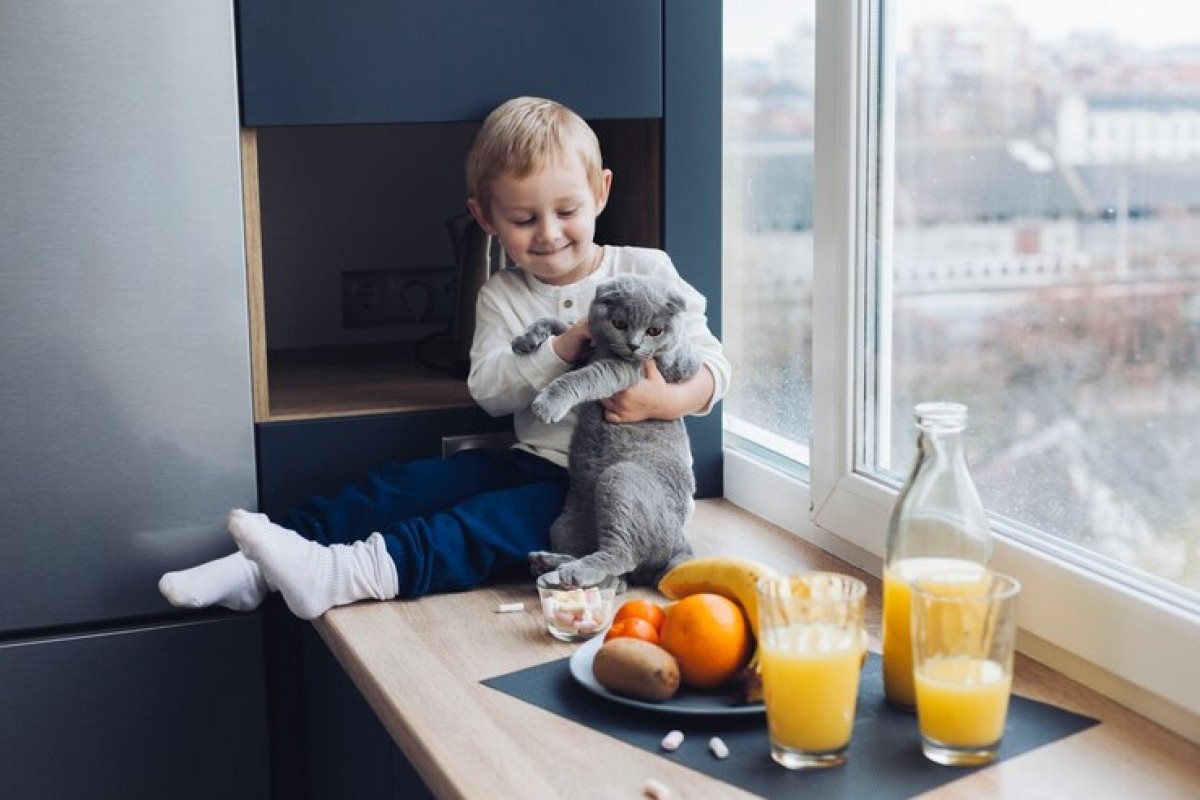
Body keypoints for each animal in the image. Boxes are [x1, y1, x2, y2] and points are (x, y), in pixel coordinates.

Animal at [508, 273, 700, 587]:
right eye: (620, 323)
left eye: (654, 330)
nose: (634, 346)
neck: (604, 348)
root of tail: (682, 547)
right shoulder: (583, 351)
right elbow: (559, 326)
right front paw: (525, 340)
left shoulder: (625, 370)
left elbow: (583, 377)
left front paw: (547, 404)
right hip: (563, 525)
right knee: (616, 581)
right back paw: (550, 565)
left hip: (619, 478)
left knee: (621, 556)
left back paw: (569, 570)